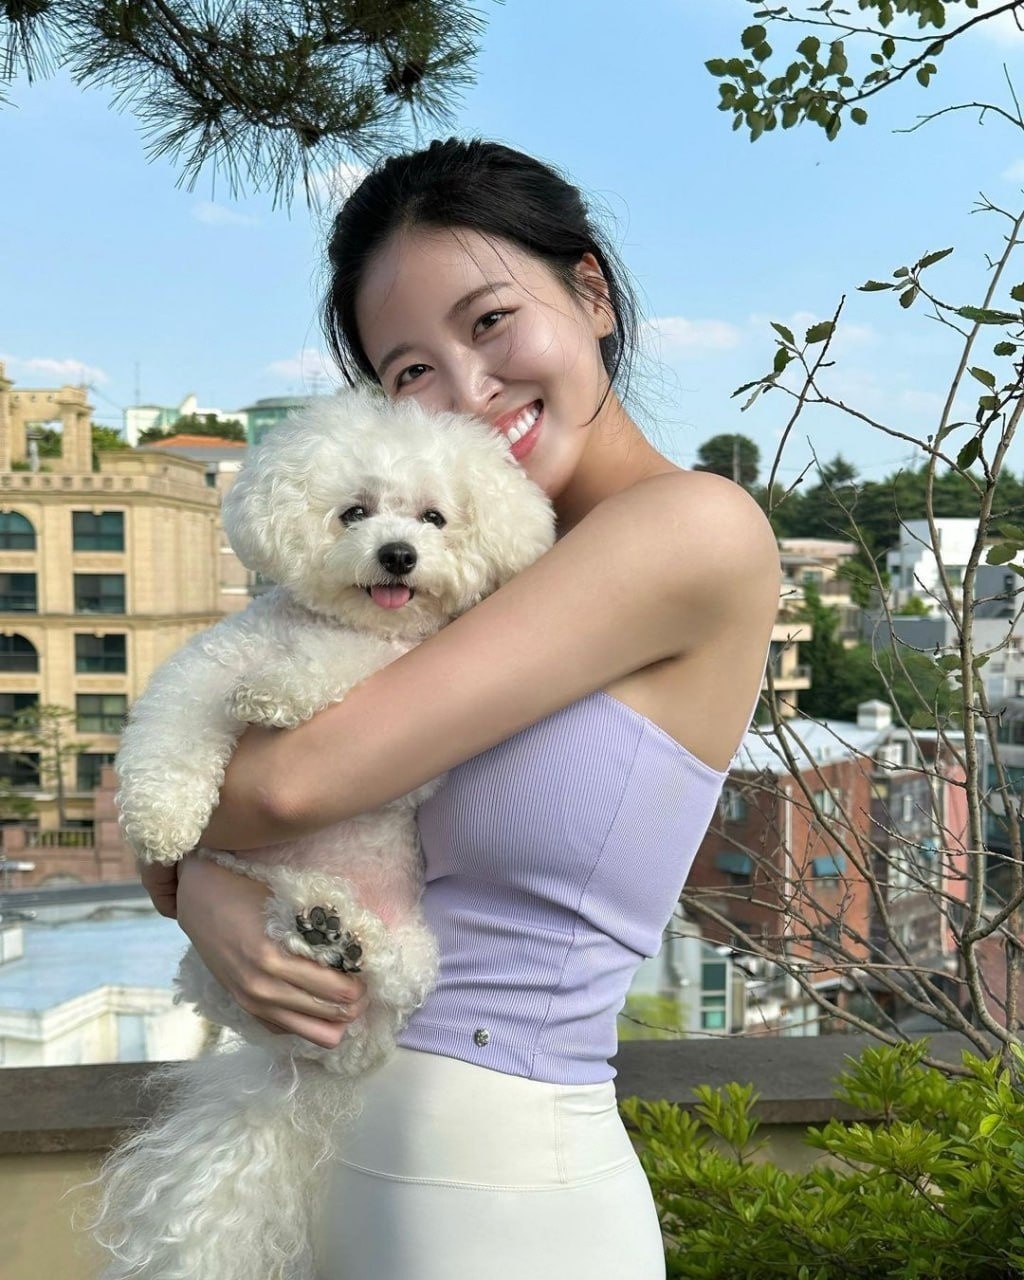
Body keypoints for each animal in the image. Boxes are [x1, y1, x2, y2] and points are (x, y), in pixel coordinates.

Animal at [90, 389, 555, 1280]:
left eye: (435, 517)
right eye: (355, 511)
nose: (400, 555)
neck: (349, 625)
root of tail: (292, 1069)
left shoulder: (403, 693)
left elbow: (334, 675)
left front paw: (280, 691)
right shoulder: (201, 670)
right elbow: (172, 730)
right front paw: (161, 822)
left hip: (404, 971)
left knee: (380, 1007)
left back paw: (344, 939)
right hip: (218, 952)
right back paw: (316, 924)